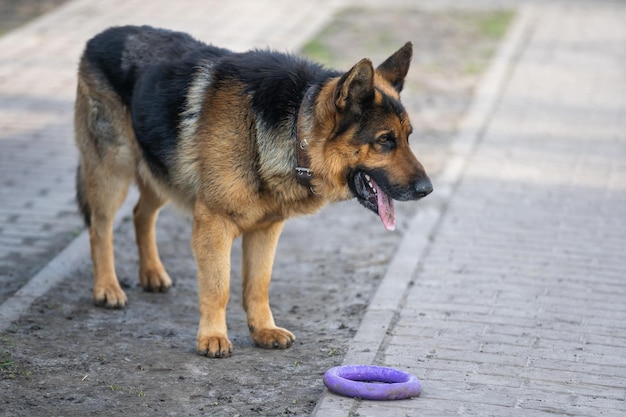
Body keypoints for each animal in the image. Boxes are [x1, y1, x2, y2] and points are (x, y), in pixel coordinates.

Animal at [73, 26, 428, 358]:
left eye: (408, 137)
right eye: (385, 140)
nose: (428, 189)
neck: (296, 130)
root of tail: (99, 37)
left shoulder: (265, 230)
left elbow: (258, 285)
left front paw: (263, 330)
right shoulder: (213, 224)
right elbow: (218, 287)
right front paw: (213, 337)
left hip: (160, 169)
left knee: (140, 214)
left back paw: (152, 272)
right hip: (114, 172)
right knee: (100, 228)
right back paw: (107, 287)